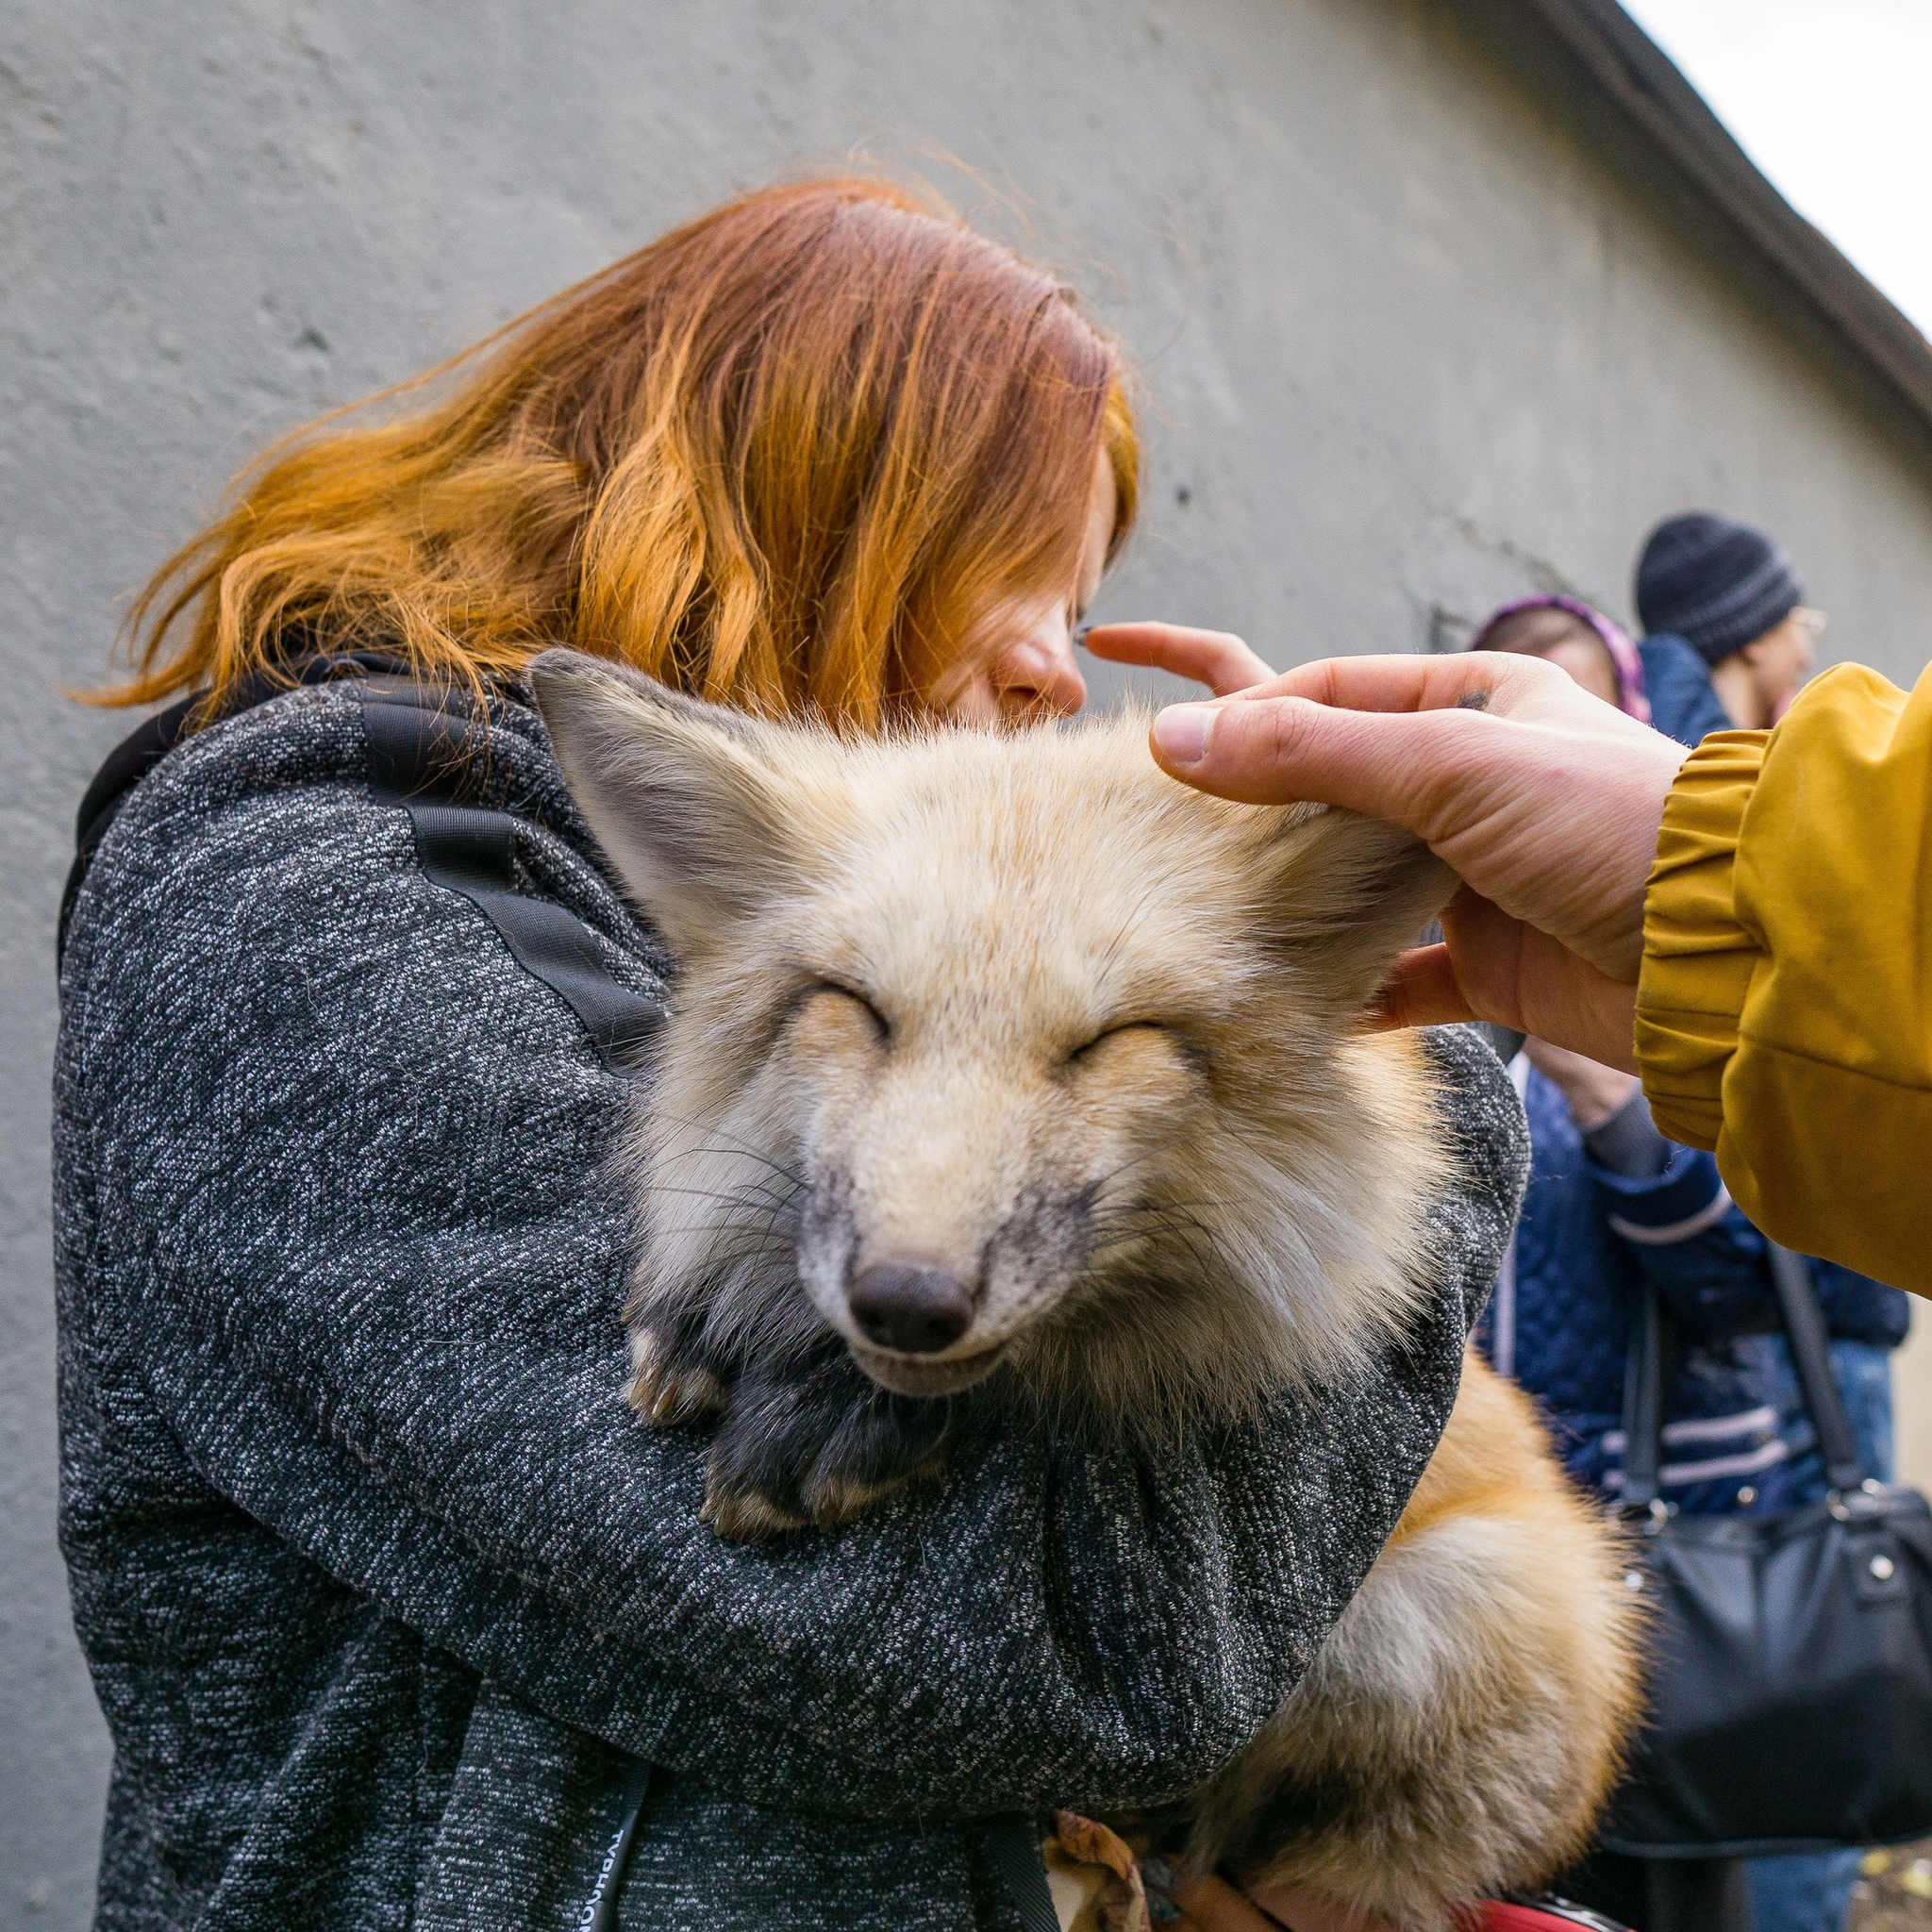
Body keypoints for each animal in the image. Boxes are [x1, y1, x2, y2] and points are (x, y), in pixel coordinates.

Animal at [529, 653, 1645, 1932]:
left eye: (1108, 1042)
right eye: (857, 1008)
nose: (903, 1301)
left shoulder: (1308, 1282)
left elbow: (1087, 1356)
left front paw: (827, 1404)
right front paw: (723, 1316)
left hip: (1432, 1618)